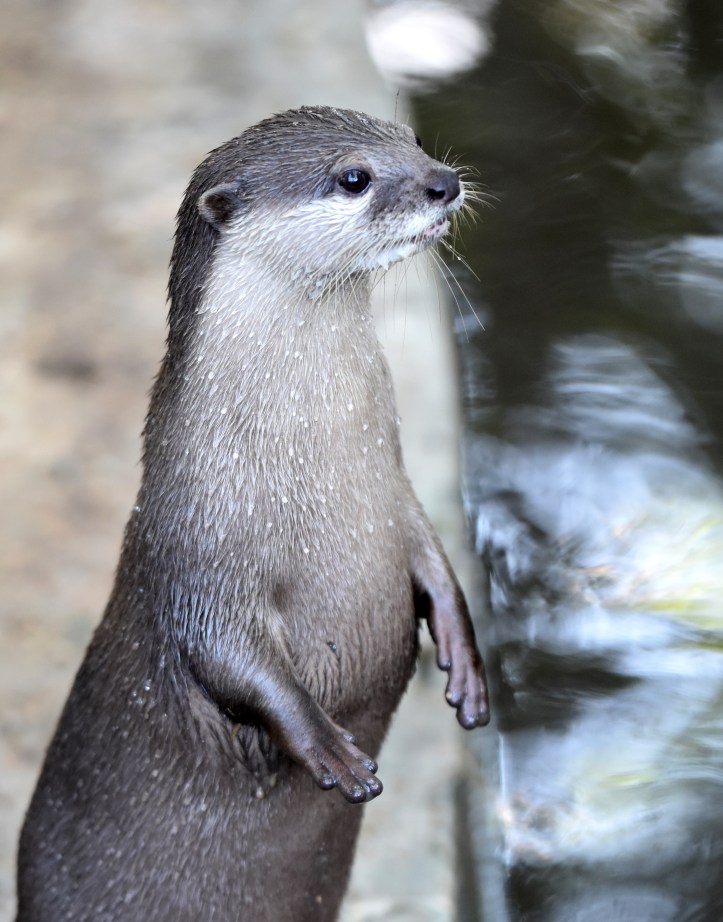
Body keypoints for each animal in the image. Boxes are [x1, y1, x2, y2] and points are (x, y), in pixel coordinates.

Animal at [16, 106, 489, 922]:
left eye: (415, 141)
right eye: (354, 176)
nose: (442, 182)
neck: (310, 472)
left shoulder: (395, 497)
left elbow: (436, 564)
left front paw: (465, 666)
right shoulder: (200, 546)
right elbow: (233, 658)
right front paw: (330, 750)